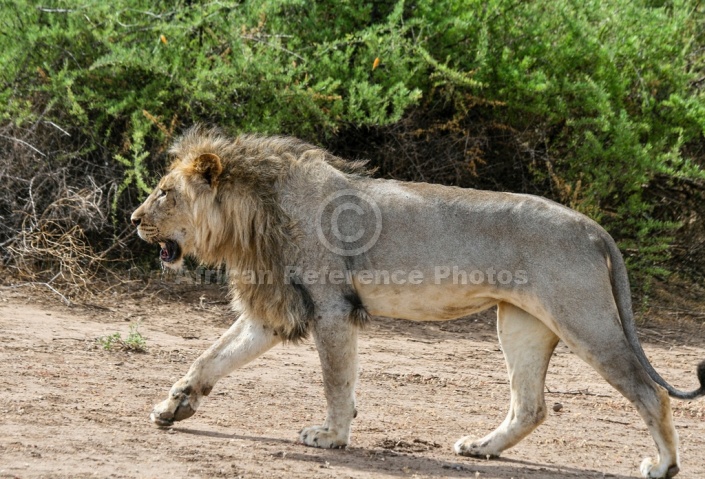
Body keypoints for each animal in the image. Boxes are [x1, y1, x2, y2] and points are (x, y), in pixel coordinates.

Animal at [131, 125, 700, 478]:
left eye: (163, 192)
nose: (134, 220)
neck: (253, 212)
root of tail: (591, 227)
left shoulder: (331, 305)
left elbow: (336, 379)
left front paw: (331, 437)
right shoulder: (275, 311)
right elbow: (211, 357)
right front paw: (173, 406)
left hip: (584, 318)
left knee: (651, 392)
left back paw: (663, 467)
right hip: (520, 323)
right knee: (531, 405)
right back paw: (481, 448)